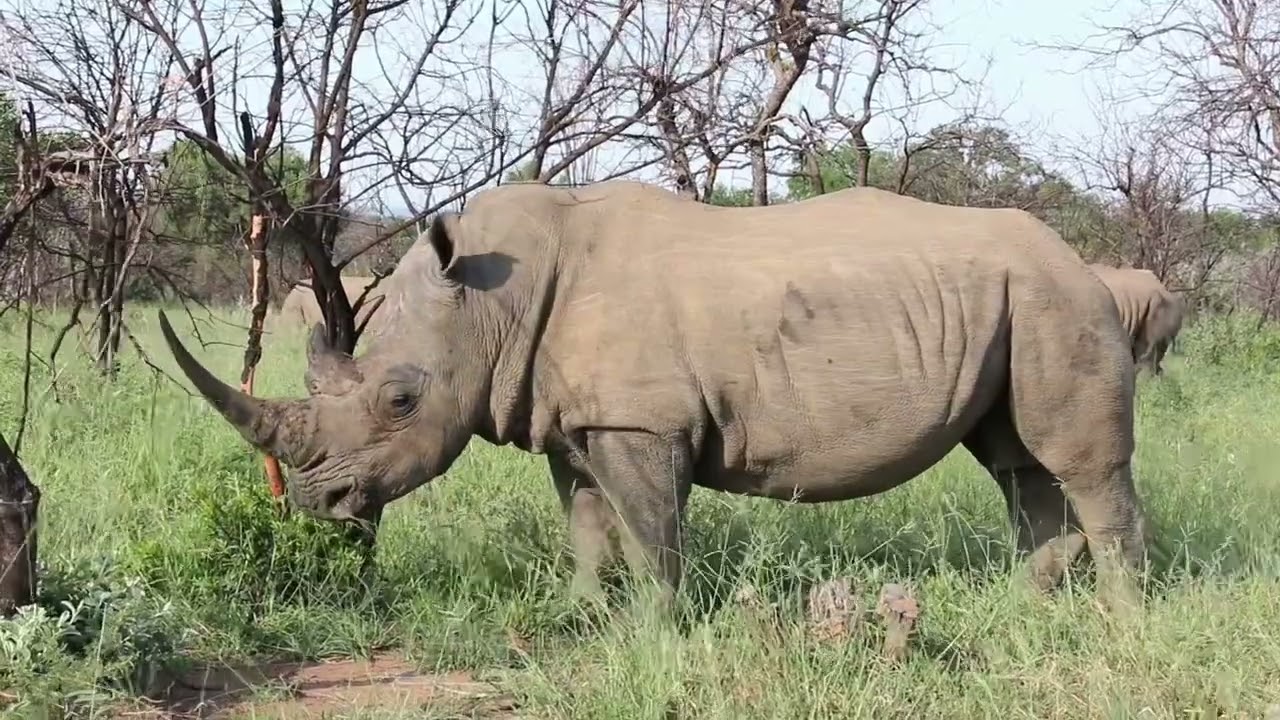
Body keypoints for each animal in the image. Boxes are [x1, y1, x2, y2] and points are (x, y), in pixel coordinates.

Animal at [157, 180, 1148, 612]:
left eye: (400, 401)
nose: (317, 506)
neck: (489, 304)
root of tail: (1078, 256)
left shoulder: (640, 418)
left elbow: (652, 533)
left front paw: (658, 630)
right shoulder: (570, 419)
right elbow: (589, 525)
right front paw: (582, 615)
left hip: (1059, 301)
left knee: (1076, 464)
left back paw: (1122, 616)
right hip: (1016, 303)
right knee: (1018, 460)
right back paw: (1024, 606)